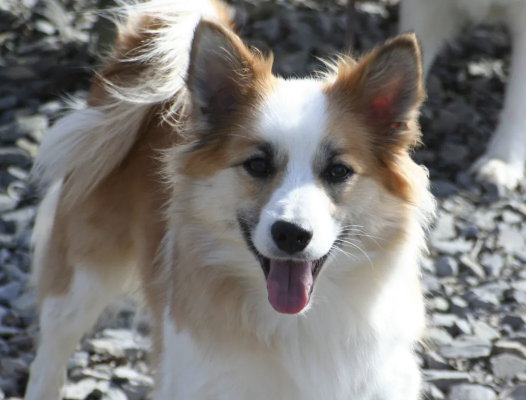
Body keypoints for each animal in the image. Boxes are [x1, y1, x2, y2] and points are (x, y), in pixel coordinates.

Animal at [24, 1, 438, 398]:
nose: (291, 234)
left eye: (338, 171)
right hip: (80, 276)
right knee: (51, 350)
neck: (297, 323)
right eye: (257, 164)